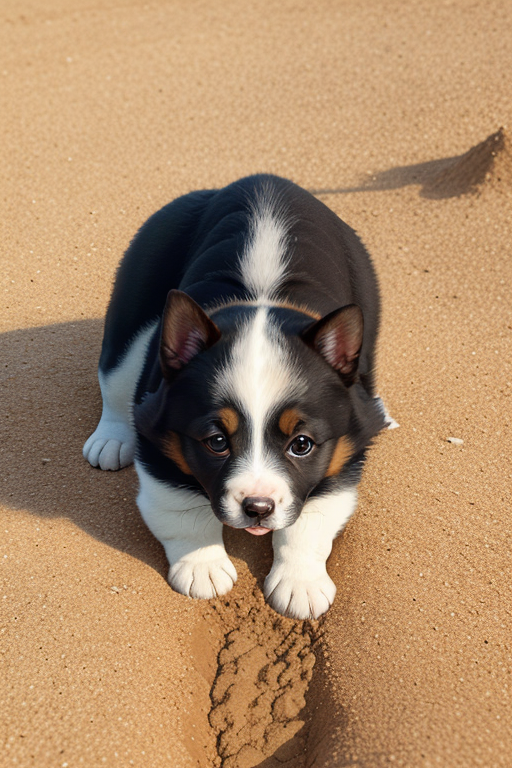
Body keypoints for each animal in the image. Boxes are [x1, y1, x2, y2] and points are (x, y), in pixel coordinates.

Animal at [83, 174, 392, 616]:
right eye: (216, 442)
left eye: (302, 444)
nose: (257, 508)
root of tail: (259, 181)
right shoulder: (159, 436)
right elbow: (181, 509)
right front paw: (203, 567)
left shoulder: (345, 449)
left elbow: (311, 519)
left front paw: (300, 583)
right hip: (133, 305)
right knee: (115, 376)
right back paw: (109, 440)